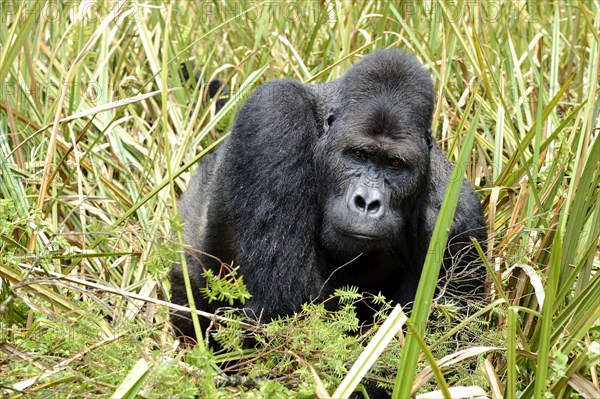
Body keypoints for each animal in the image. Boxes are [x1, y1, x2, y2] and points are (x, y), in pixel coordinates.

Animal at [170, 48, 488, 340]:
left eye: (395, 164)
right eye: (358, 154)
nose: (367, 202)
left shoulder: (460, 223)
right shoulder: (275, 115)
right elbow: (290, 311)